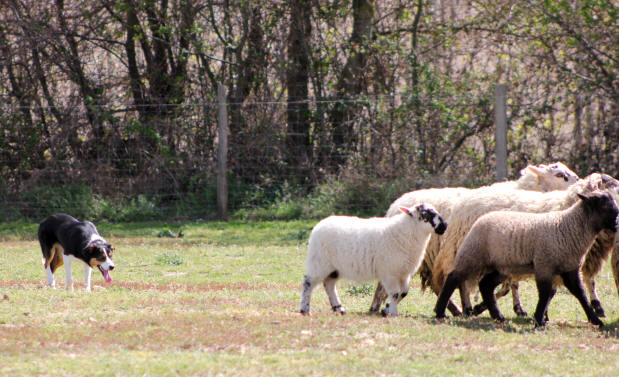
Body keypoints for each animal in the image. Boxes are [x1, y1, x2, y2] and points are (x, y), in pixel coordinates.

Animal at [300, 204, 446, 316]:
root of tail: (318, 225)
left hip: (334, 267)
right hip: (319, 262)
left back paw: (338, 308)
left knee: (329, 284)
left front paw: (387, 309)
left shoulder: (404, 273)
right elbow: (395, 294)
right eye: (425, 215)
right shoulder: (389, 273)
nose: (444, 226)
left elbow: (403, 293)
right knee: (308, 282)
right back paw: (305, 309)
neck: (405, 232)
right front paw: (393, 312)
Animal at [370, 163, 580, 312]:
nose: (579, 182)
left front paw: (517, 308)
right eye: (560, 175)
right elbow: (508, 285)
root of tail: (395, 205)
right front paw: (487, 306)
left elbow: (512, 284)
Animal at [434, 172, 616, 316]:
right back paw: (466, 308)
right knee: (460, 280)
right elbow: (549, 291)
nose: (617, 219)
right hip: (469, 251)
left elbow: (580, 285)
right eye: (611, 186)